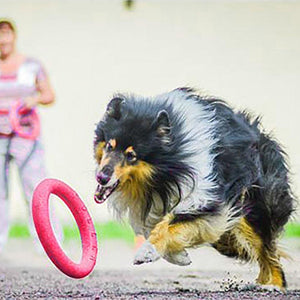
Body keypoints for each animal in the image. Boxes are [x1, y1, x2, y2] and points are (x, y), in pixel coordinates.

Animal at [94, 88, 296, 290]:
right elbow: (157, 227)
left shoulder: (205, 196)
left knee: (268, 251)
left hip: (253, 207)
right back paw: (257, 283)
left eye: (131, 155)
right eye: (109, 146)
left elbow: (170, 223)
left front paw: (147, 252)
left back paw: (273, 285)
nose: (101, 177)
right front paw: (180, 256)